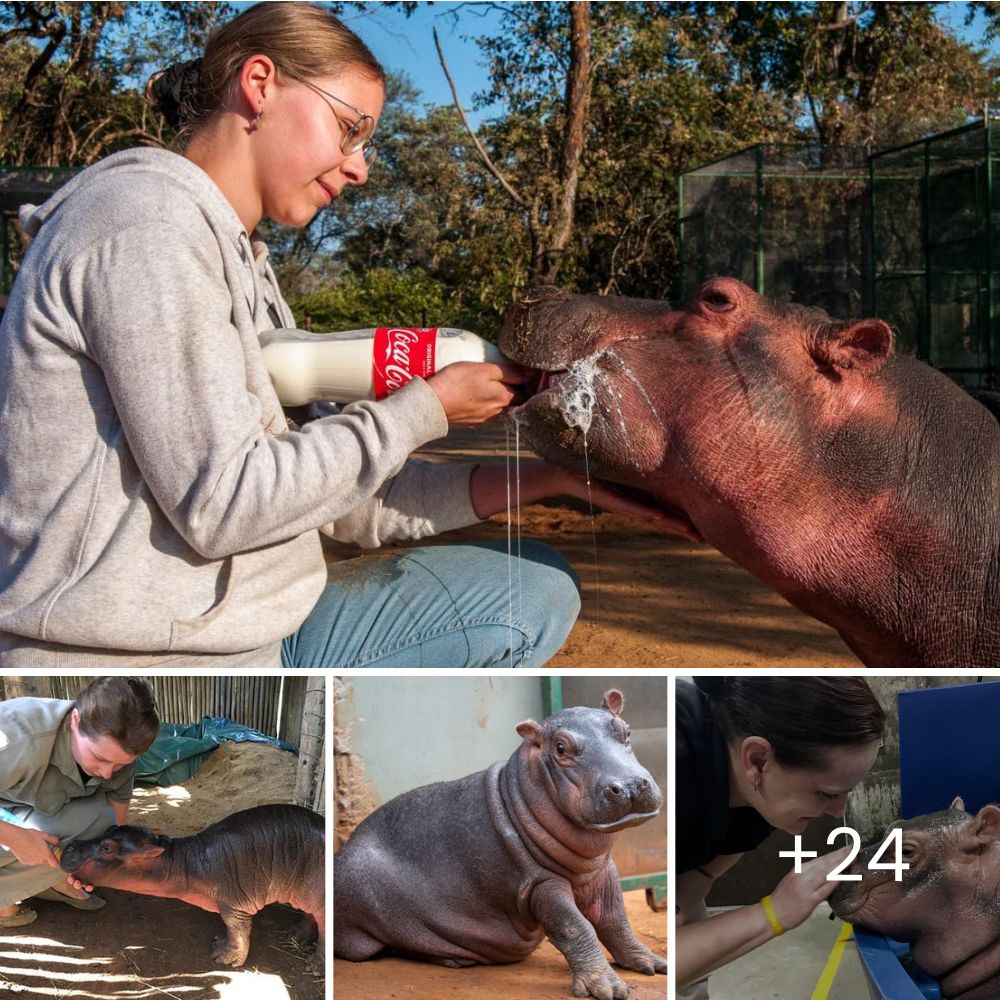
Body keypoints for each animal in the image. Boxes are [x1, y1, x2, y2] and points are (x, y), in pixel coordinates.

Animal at [334, 688, 664, 1000]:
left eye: (626, 730)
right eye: (560, 747)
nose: (630, 785)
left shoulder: (601, 871)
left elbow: (615, 919)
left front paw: (652, 963)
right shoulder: (540, 882)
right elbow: (575, 926)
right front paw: (607, 988)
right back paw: (454, 960)